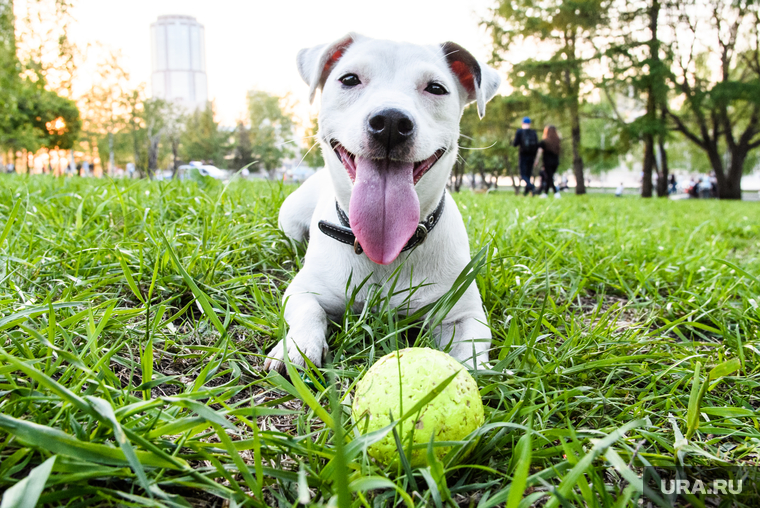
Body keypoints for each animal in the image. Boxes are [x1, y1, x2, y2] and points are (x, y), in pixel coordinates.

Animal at [264, 33, 502, 372]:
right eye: (349, 79)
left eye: (436, 88)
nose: (390, 121)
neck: (387, 249)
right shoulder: (305, 289)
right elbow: (308, 309)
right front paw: (297, 346)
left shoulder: (462, 312)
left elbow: (469, 346)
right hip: (290, 220)